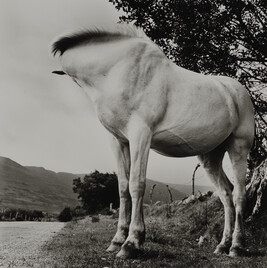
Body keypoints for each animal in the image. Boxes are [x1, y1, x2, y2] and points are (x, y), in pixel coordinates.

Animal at [52, 24, 255, 258]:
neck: (116, 69)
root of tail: (238, 92)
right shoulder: (118, 141)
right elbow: (123, 188)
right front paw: (118, 240)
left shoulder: (140, 135)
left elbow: (137, 184)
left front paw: (131, 242)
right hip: (210, 156)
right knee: (226, 194)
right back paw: (222, 245)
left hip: (238, 147)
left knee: (239, 194)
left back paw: (236, 246)